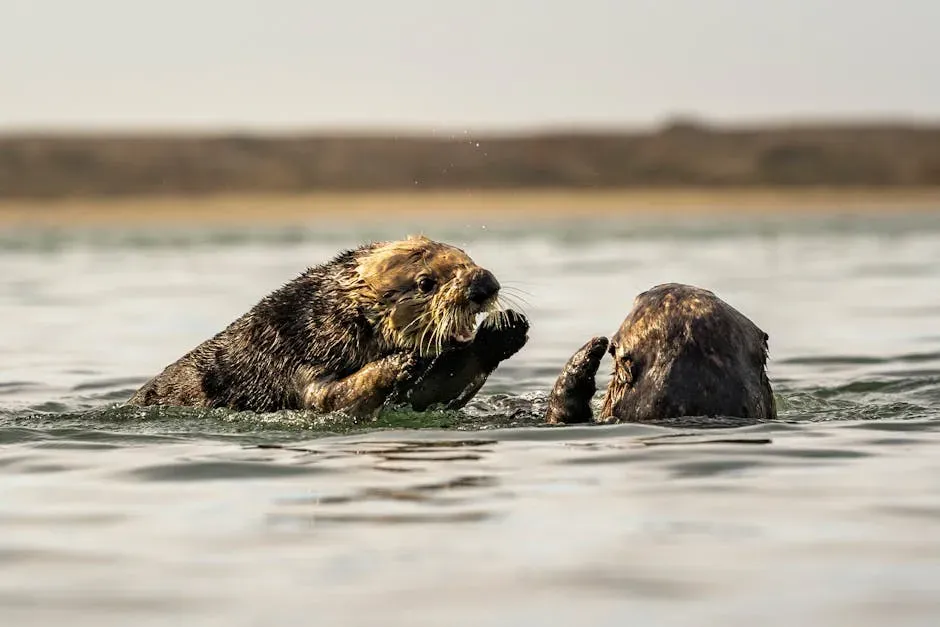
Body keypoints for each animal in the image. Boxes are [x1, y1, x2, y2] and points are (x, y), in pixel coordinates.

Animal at [126, 235, 529, 417]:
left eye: (466, 257)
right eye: (426, 283)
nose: (485, 284)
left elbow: (435, 391)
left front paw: (505, 328)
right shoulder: (296, 361)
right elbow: (332, 398)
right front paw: (399, 363)